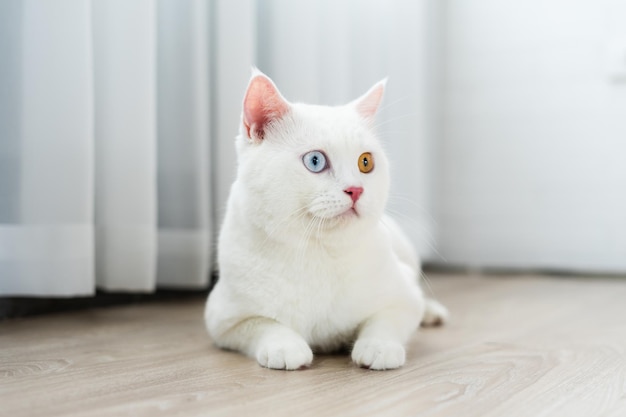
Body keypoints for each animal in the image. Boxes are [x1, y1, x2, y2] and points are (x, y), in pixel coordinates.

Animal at [204, 70, 444, 368]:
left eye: (366, 162)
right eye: (315, 161)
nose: (356, 190)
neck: (318, 250)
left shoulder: (403, 297)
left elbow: (386, 320)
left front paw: (379, 347)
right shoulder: (224, 319)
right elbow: (264, 324)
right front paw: (285, 347)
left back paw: (432, 313)